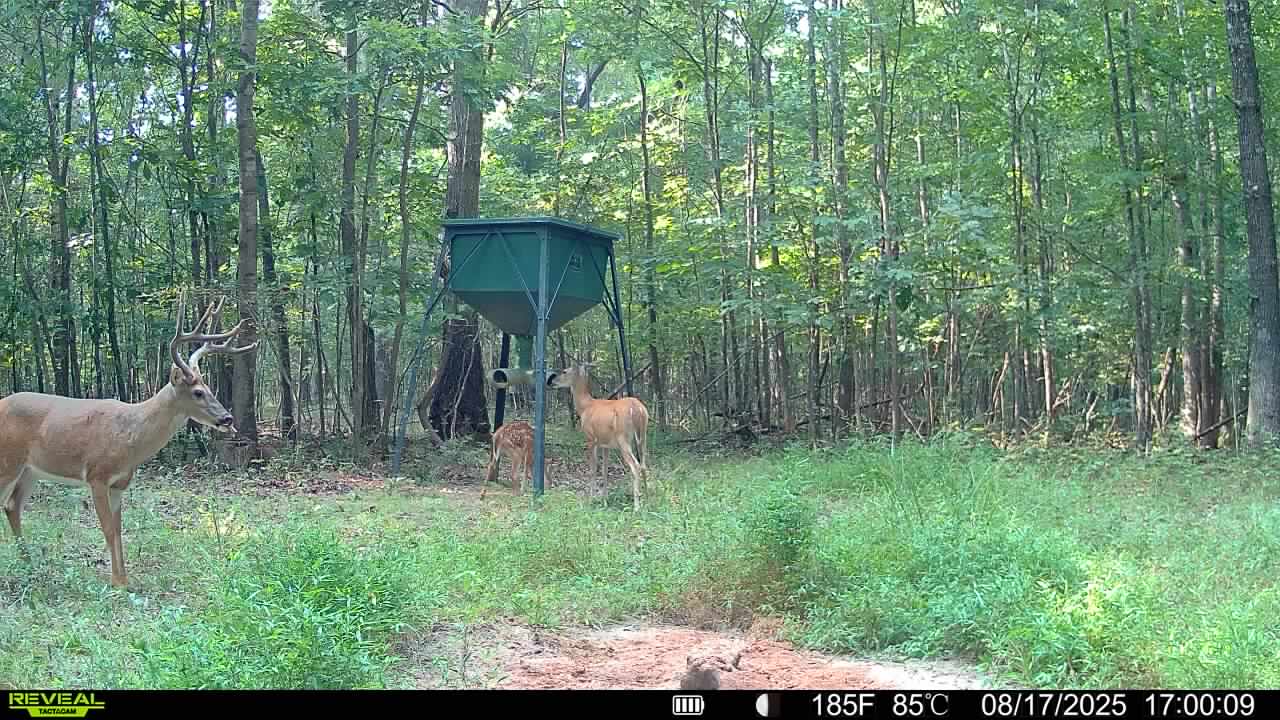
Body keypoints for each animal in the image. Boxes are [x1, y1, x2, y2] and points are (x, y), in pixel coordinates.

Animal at [0, 292, 258, 588]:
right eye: (197, 392)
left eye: (209, 387)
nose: (227, 418)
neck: (129, 438)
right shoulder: (96, 475)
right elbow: (108, 529)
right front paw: (116, 582)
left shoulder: (120, 483)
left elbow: (119, 529)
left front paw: (124, 579)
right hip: (8, 461)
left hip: (30, 470)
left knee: (12, 506)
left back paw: (29, 564)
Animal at [548, 362, 649, 510]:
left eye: (564, 371)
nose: (551, 381)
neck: (585, 406)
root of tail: (638, 409)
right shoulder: (605, 444)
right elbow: (604, 469)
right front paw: (604, 499)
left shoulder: (591, 438)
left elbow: (593, 469)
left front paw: (591, 499)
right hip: (643, 435)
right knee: (644, 465)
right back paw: (648, 498)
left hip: (623, 438)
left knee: (635, 466)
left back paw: (637, 506)